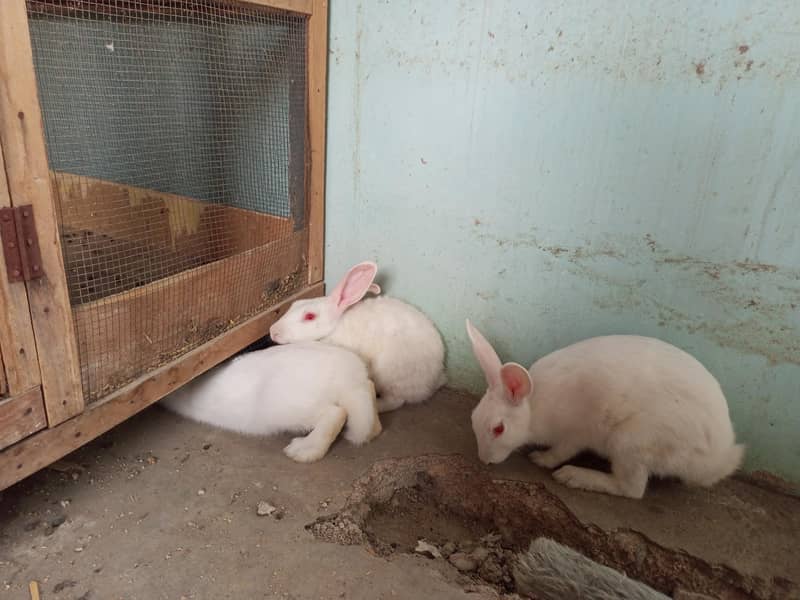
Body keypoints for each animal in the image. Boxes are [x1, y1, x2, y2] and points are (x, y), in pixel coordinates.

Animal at [161, 342, 382, 463]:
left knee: (336, 414)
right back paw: (374, 429)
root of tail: (348, 379)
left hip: (289, 408)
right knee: (370, 389)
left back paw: (303, 450)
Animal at [269, 261, 446, 413]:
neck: (334, 328)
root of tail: (434, 381)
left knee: (395, 401)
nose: (272, 331)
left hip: (388, 374)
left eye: (310, 316)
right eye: (295, 304)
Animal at [465, 319, 745, 499]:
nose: (484, 460)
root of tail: (717, 458)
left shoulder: (576, 433)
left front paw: (541, 459)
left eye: (498, 429)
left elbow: (562, 451)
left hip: (630, 442)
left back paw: (574, 476)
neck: (534, 408)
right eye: (473, 420)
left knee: (631, 490)